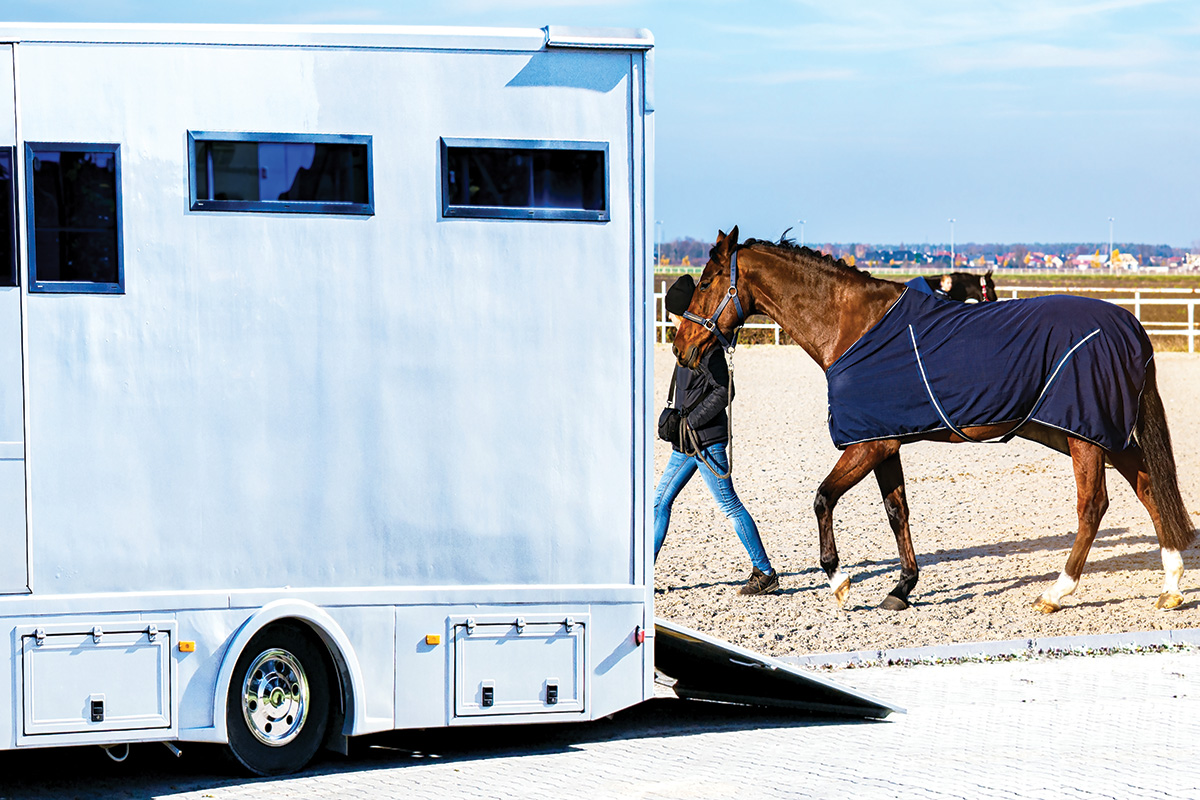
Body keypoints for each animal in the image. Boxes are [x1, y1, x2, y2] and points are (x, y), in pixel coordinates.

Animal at [676, 227, 1190, 618]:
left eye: (706, 281)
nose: (682, 346)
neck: (851, 327)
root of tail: (1130, 325)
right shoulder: (884, 442)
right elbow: (896, 511)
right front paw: (902, 587)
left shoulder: (866, 446)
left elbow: (823, 499)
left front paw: (839, 581)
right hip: (1091, 433)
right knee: (1147, 484)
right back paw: (1171, 584)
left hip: (1085, 436)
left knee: (1093, 507)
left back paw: (1056, 592)